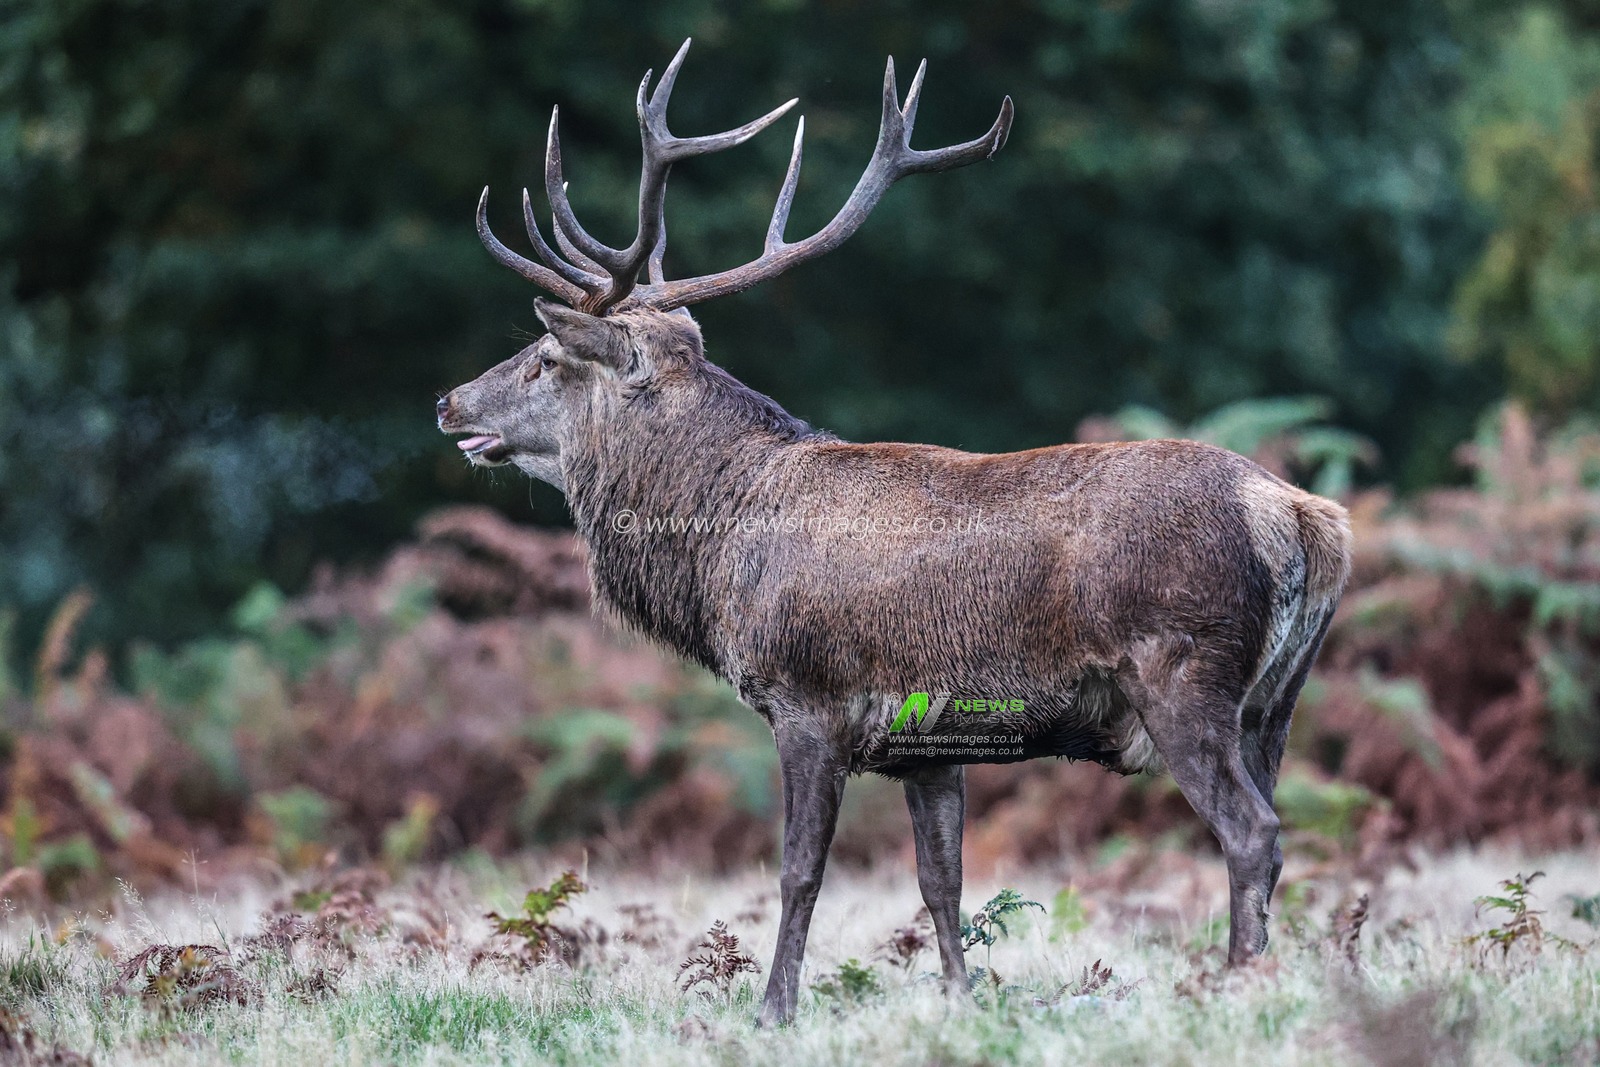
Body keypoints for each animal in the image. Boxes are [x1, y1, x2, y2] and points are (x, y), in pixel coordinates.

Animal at [436, 40, 1352, 1026]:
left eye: (546, 358)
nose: (448, 401)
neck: (720, 542)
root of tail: (1301, 516)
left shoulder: (805, 697)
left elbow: (799, 871)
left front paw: (772, 1009)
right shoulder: (929, 744)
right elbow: (940, 880)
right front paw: (959, 999)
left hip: (1182, 669)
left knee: (1253, 832)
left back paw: (1235, 988)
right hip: (1275, 699)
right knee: (1272, 823)